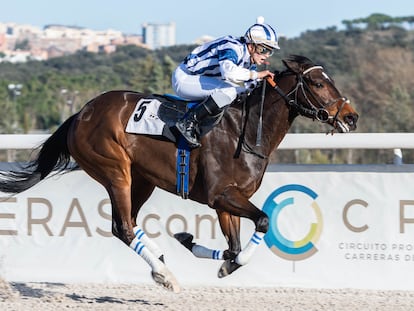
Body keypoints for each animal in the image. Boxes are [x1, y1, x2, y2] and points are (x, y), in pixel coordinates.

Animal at [0, 55, 358, 292]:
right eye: (317, 82)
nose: (351, 117)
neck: (243, 131)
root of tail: (80, 114)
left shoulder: (227, 200)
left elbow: (234, 248)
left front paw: (193, 243)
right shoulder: (221, 195)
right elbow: (262, 222)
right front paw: (218, 260)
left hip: (142, 180)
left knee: (125, 225)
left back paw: (160, 267)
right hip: (116, 172)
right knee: (124, 227)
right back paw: (165, 274)